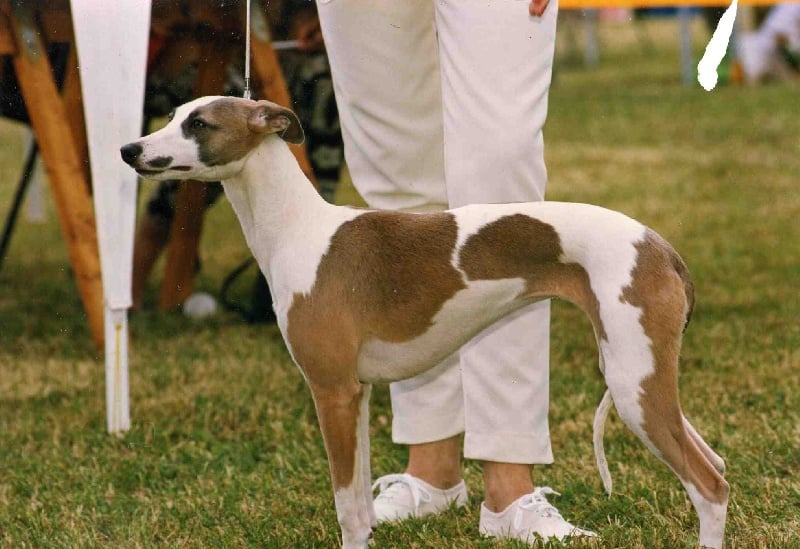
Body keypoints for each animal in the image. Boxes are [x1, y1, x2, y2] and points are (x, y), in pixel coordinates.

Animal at [120, 96, 732, 544]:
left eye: (199, 123)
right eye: (172, 115)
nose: (129, 148)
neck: (298, 228)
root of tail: (660, 246)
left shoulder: (332, 391)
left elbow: (346, 509)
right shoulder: (359, 394)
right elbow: (359, 504)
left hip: (634, 388)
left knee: (710, 486)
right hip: (642, 377)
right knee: (716, 463)